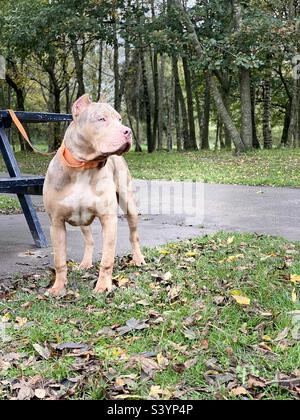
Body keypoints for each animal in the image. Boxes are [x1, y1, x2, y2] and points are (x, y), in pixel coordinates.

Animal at [43, 93, 145, 296]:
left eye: (119, 119)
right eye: (101, 119)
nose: (128, 131)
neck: (83, 166)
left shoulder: (108, 219)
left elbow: (107, 259)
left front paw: (103, 286)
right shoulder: (56, 223)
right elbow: (59, 260)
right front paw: (58, 287)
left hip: (129, 205)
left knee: (133, 235)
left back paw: (138, 259)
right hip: (82, 220)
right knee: (88, 239)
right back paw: (86, 263)